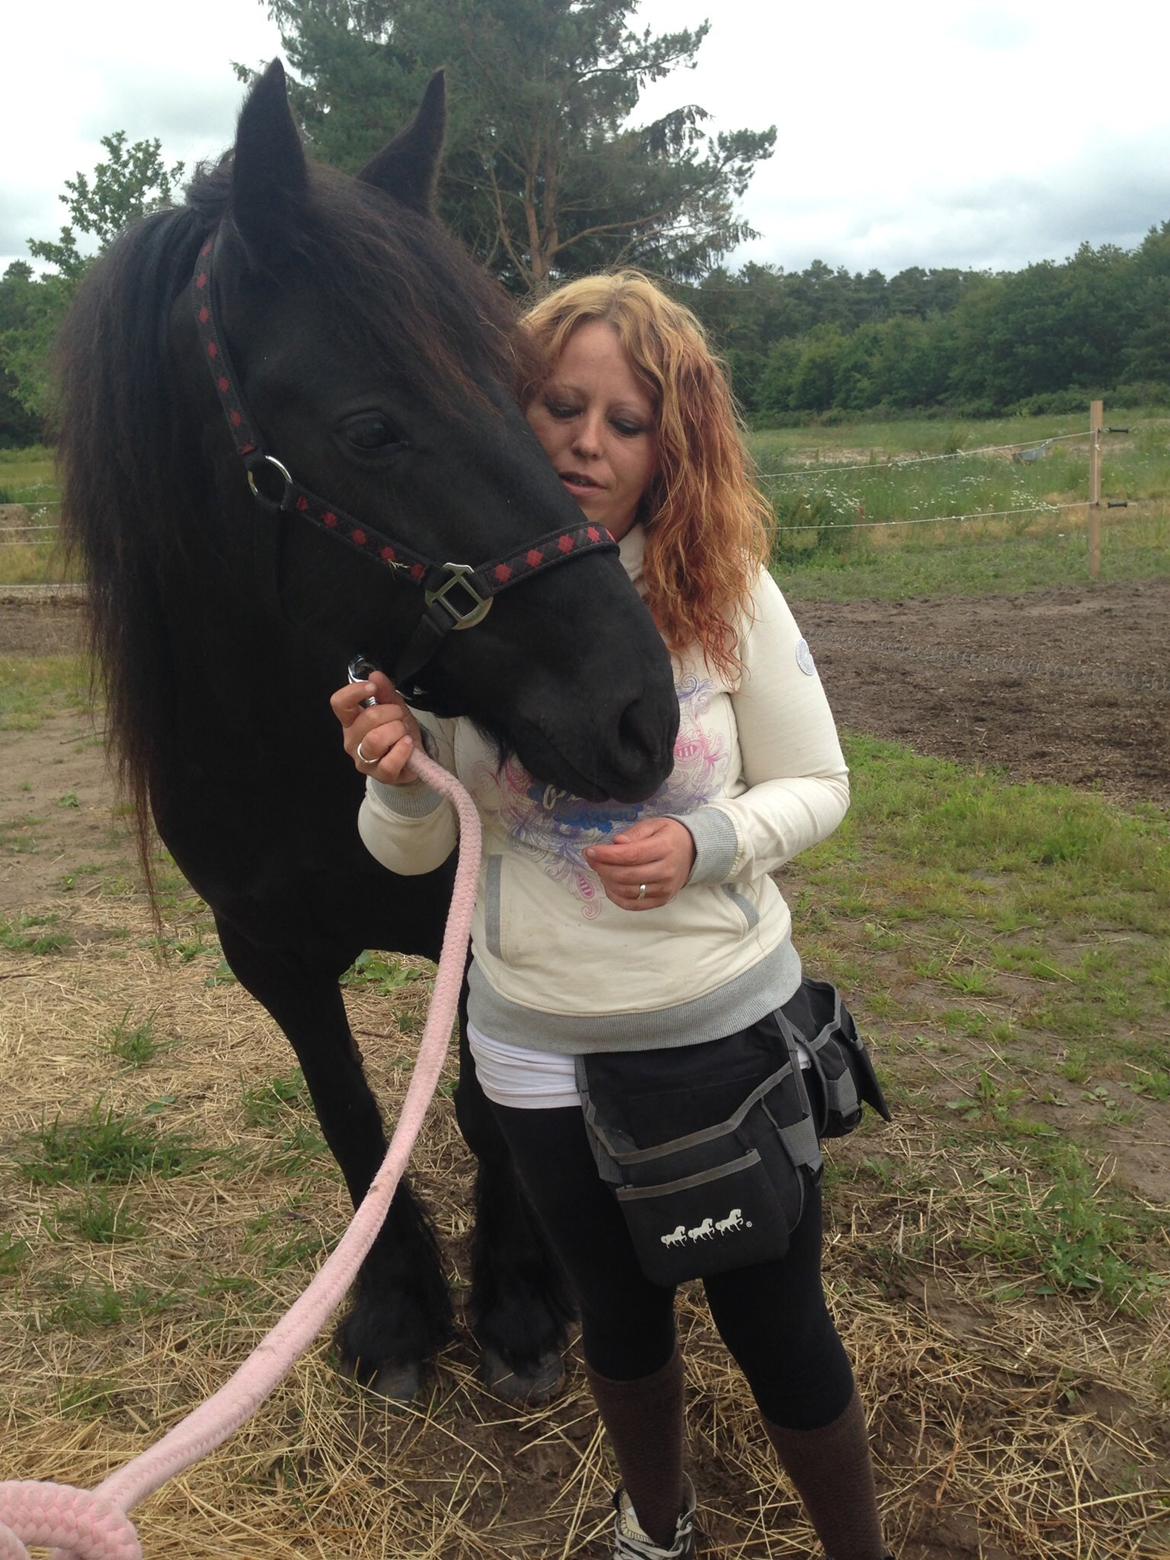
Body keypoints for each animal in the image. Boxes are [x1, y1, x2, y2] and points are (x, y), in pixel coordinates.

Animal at [54, 60, 678, 1402]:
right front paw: (395, 1311)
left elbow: (490, 1113)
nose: (637, 710)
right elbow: (347, 1113)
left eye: (522, 393)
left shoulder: (484, 940)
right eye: (372, 430)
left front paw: (517, 1302)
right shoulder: (267, 953)